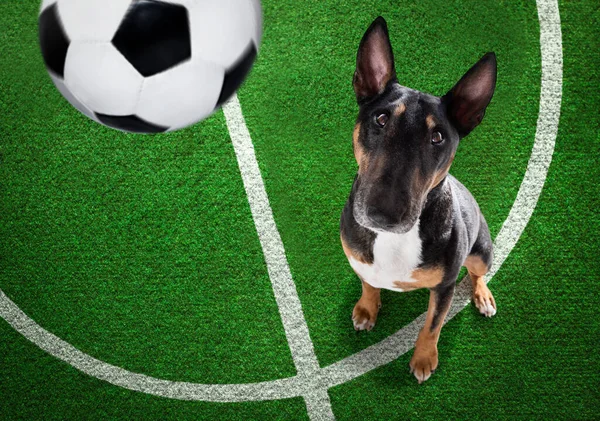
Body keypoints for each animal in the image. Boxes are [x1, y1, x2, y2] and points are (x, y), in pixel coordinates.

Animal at [340, 16, 500, 382]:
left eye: (437, 136)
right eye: (381, 118)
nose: (383, 214)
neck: (392, 241)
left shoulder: (444, 288)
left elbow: (432, 325)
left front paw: (424, 359)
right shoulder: (359, 261)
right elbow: (368, 284)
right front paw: (366, 310)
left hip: (481, 251)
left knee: (478, 272)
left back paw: (483, 297)